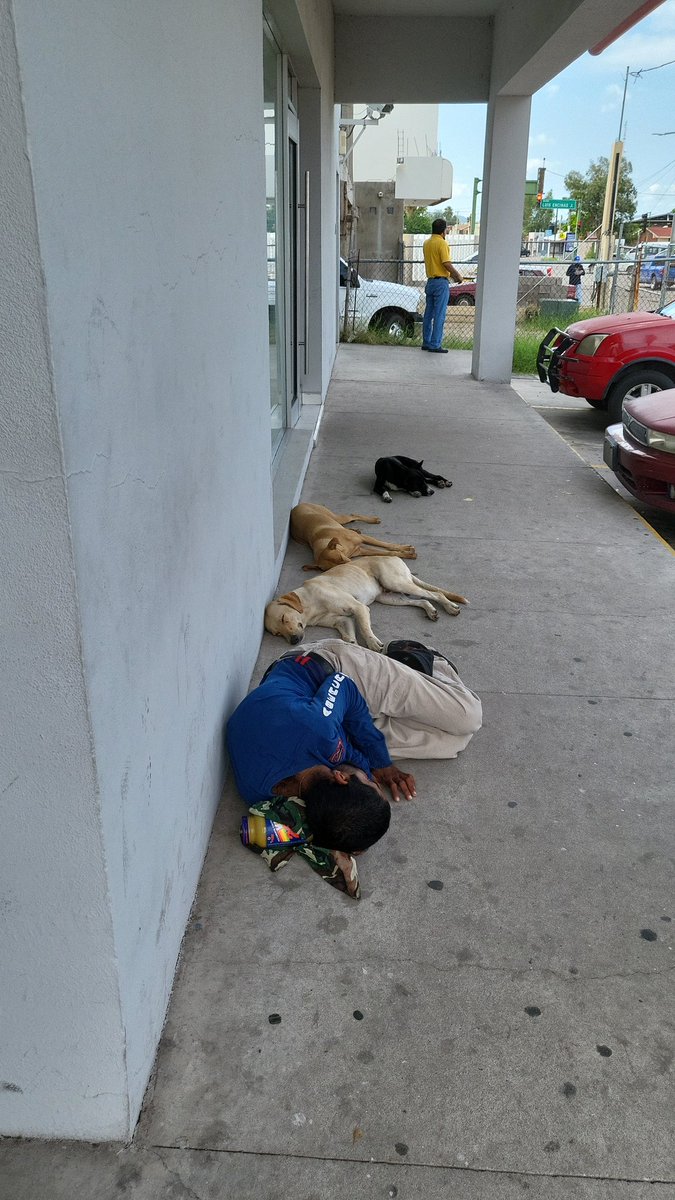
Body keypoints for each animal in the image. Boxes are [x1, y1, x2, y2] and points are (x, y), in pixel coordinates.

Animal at [264, 554, 468, 652]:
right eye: (277, 633)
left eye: (284, 618)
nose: (293, 641)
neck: (309, 605)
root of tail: (394, 557)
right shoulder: (342, 621)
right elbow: (349, 637)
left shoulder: (358, 607)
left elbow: (364, 628)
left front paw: (372, 643)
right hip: (391, 598)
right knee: (422, 600)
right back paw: (431, 611)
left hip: (396, 582)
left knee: (434, 593)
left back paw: (449, 607)